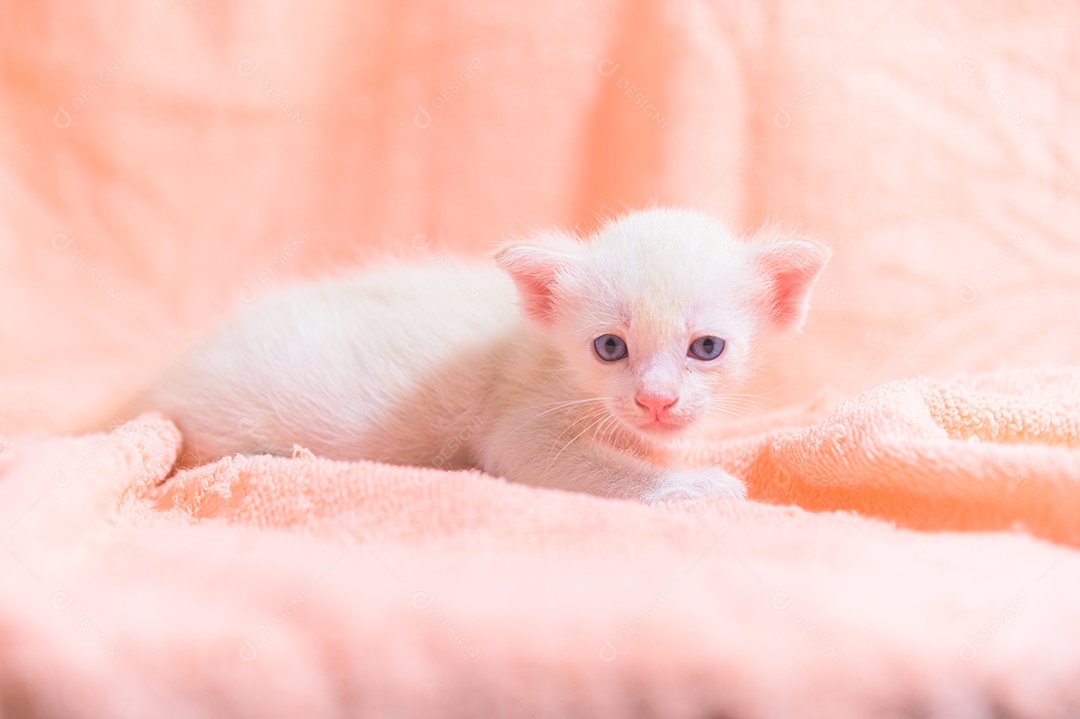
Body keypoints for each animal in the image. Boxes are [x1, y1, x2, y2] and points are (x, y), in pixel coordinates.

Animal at [135, 204, 825, 500]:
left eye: (706, 347)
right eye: (609, 346)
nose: (656, 399)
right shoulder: (520, 425)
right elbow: (592, 467)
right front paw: (696, 482)